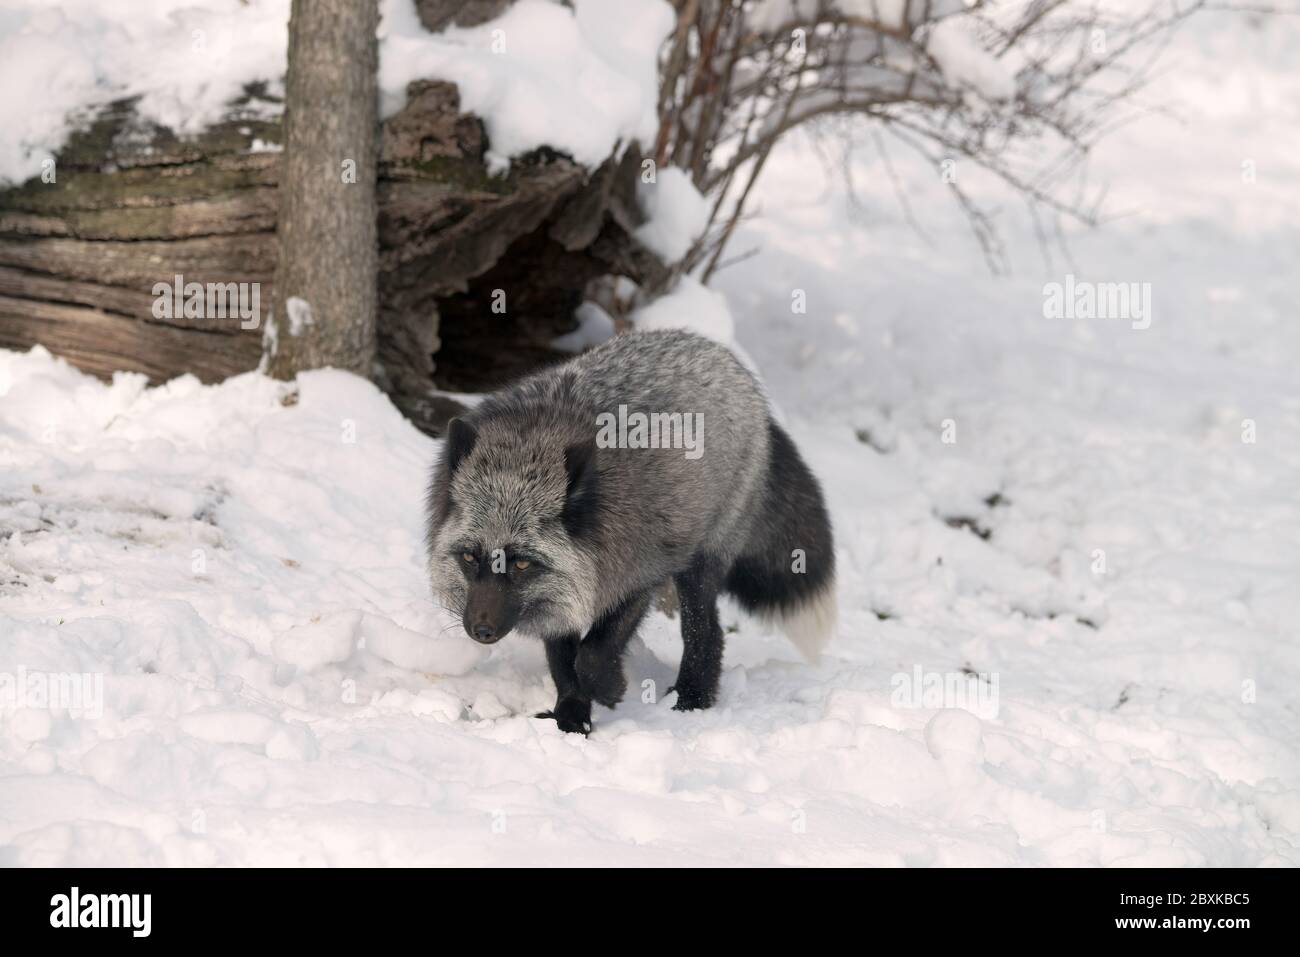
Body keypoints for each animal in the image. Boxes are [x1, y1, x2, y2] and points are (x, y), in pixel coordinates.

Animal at [421, 328, 837, 733]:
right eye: (469, 557)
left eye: (521, 564)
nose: (480, 630)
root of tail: (716, 349)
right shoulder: (564, 589)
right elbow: (562, 663)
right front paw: (571, 718)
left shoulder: (640, 573)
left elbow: (591, 655)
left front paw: (608, 689)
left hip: (698, 565)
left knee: (707, 633)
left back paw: (691, 698)